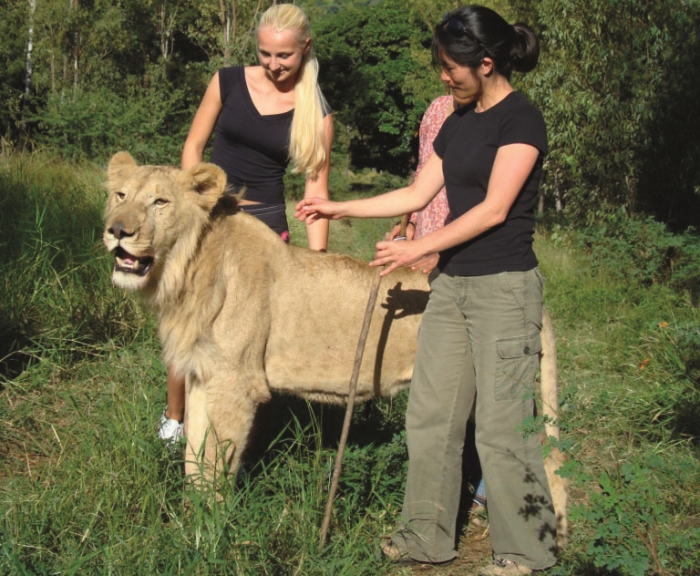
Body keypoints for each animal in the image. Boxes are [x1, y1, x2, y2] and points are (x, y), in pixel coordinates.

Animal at [102, 152, 568, 544]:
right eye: (120, 195)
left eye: (160, 201)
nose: (117, 231)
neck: (185, 270)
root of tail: (540, 300)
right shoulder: (205, 377)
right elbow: (194, 460)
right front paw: (187, 519)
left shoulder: (236, 385)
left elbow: (216, 463)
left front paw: (209, 531)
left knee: (543, 462)